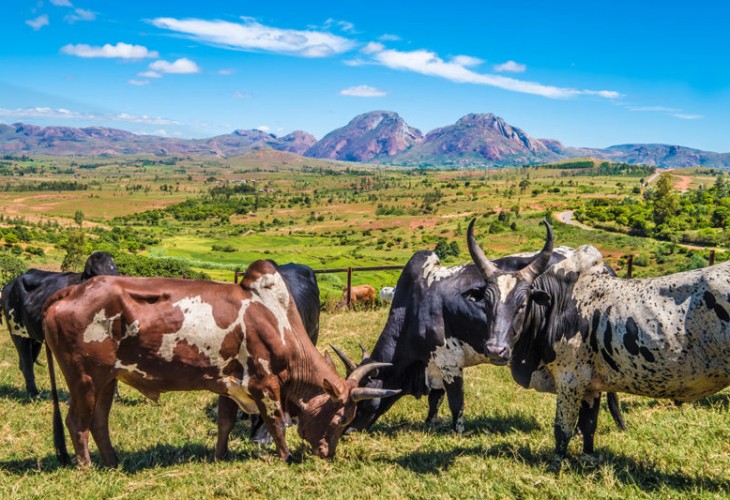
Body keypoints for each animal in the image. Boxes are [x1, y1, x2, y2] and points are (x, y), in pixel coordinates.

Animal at [42, 260, 396, 466]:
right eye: (341, 419)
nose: (327, 453)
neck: (279, 322)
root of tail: (70, 292)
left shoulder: (229, 383)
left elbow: (225, 422)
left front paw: (219, 455)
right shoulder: (264, 383)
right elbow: (276, 423)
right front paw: (287, 457)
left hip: (107, 379)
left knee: (99, 422)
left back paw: (114, 462)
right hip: (84, 379)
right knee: (77, 422)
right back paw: (86, 466)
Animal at [338, 248, 624, 436]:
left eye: (361, 402)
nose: (348, 431)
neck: (412, 306)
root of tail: (603, 267)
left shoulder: (449, 361)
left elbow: (455, 402)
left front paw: (457, 432)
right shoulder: (435, 366)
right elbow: (435, 399)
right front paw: (430, 422)